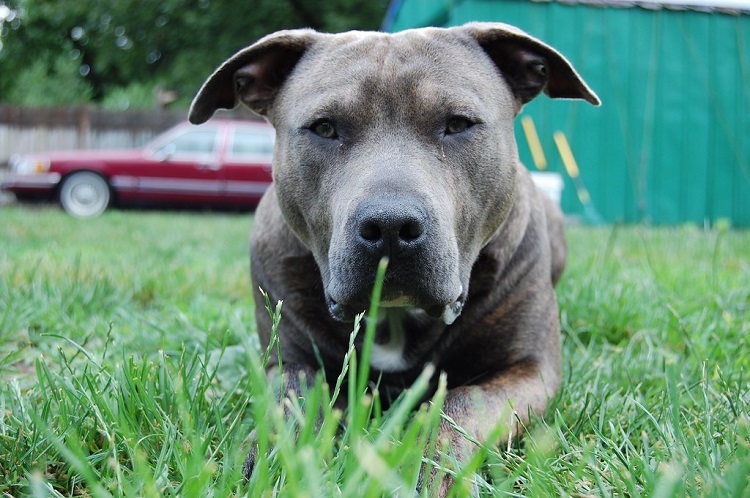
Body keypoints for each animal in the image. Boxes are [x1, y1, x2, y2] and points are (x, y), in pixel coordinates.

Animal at [191, 22, 604, 494]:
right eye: (324, 128)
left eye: (458, 124)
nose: (390, 225)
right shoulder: (287, 356)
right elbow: (293, 397)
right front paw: (273, 456)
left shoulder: (529, 368)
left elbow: (463, 402)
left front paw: (423, 461)